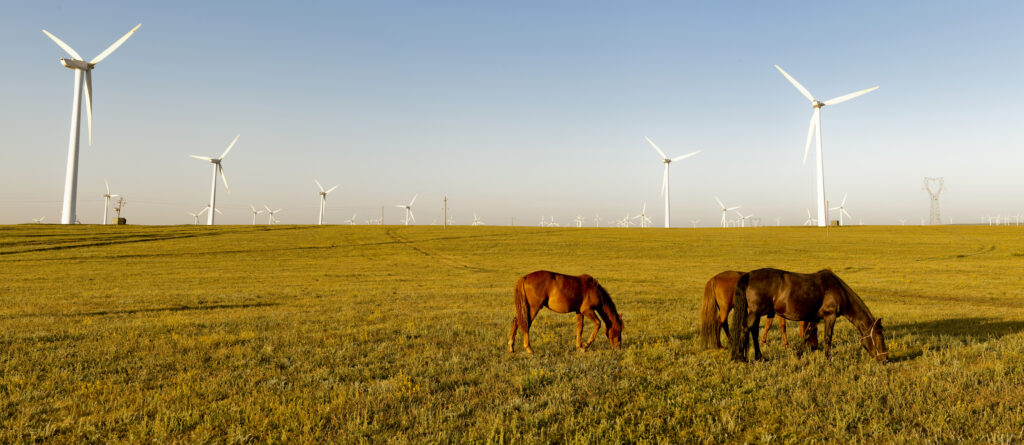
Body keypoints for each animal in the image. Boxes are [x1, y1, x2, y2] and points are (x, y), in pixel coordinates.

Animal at [729, 268, 888, 364]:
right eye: (879, 337)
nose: (885, 359)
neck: (837, 290)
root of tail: (749, 275)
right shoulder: (830, 317)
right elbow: (828, 337)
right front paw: (828, 358)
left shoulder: (814, 318)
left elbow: (806, 335)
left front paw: (798, 355)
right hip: (755, 312)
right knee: (745, 329)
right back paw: (740, 358)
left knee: (754, 332)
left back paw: (759, 357)